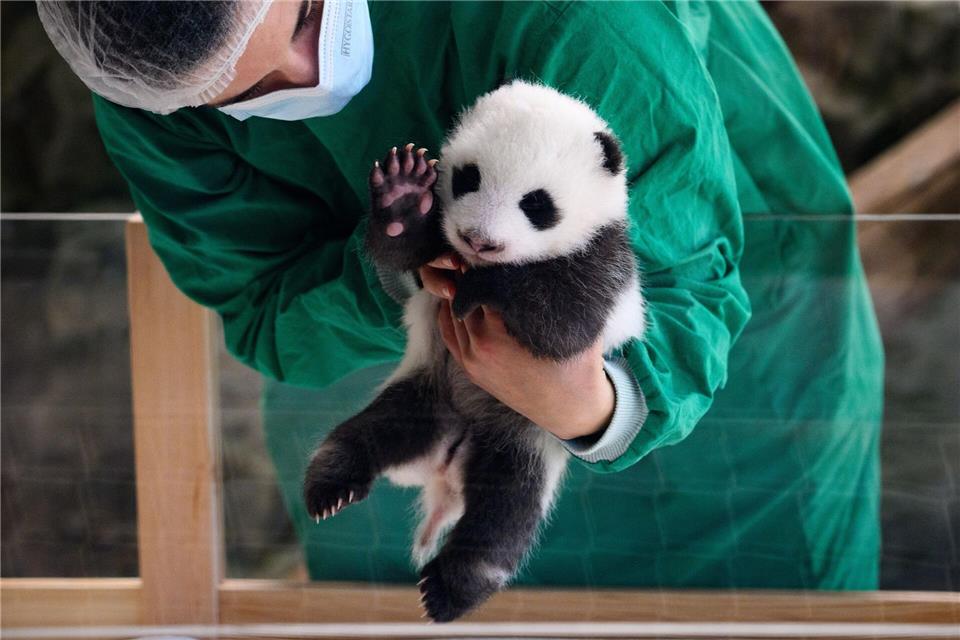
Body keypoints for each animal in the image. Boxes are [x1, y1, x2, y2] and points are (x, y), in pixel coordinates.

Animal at [303, 80, 646, 622]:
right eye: (469, 178)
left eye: (537, 204)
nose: (478, 240)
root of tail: (446, 463)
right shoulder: (438, 252)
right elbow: (406, 251)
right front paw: (403, 200)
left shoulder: (605, 260)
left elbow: (564, 327)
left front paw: (486, 290)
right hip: (426, 394)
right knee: (365, 436)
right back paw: (329, 489)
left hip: (524, 438)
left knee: (503, 516)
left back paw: (451, 590)